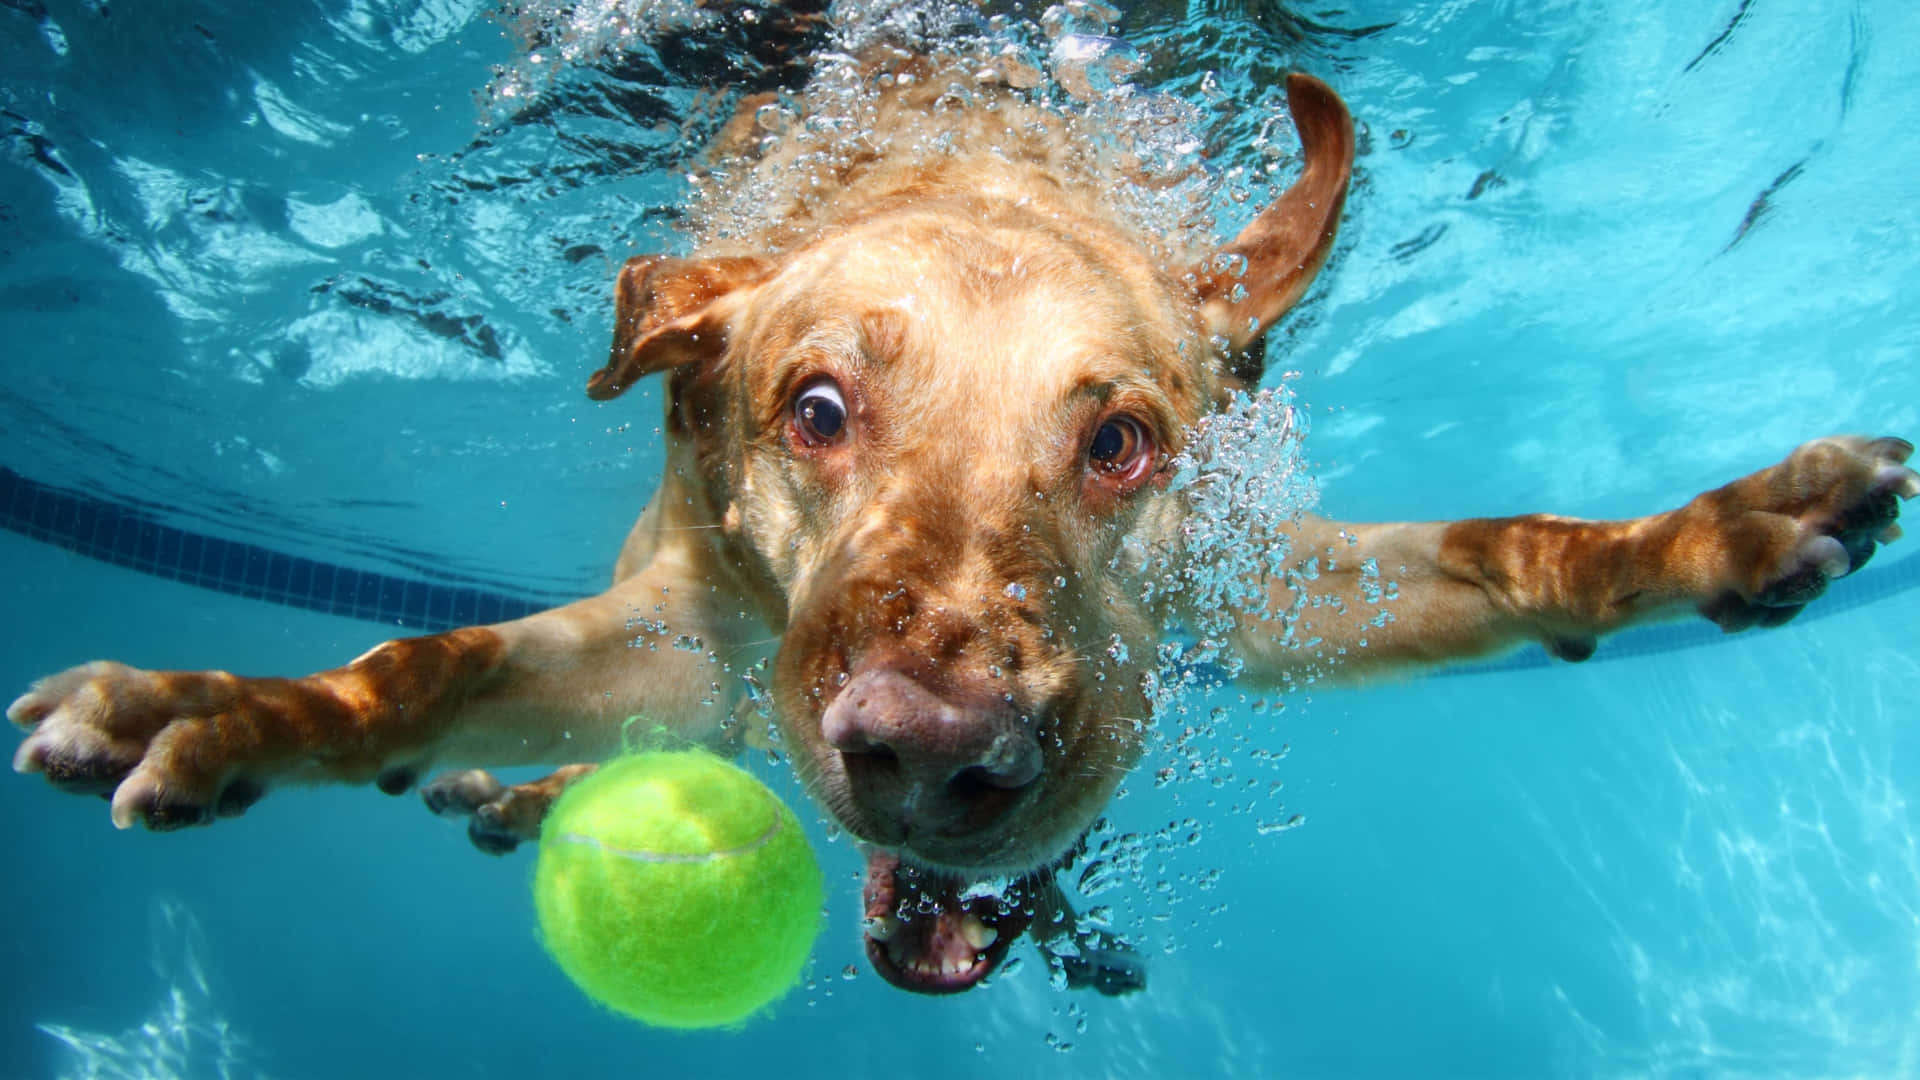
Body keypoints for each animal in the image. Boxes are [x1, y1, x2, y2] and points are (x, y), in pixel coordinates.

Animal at [7, 39, 1912, 999]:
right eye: (815, 412)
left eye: (1123, 444)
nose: (931, 758)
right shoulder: (672, 631)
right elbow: (427, 666)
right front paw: (228, 714)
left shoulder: (1270, 591)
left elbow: (1516, 548)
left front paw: (1713, 533)